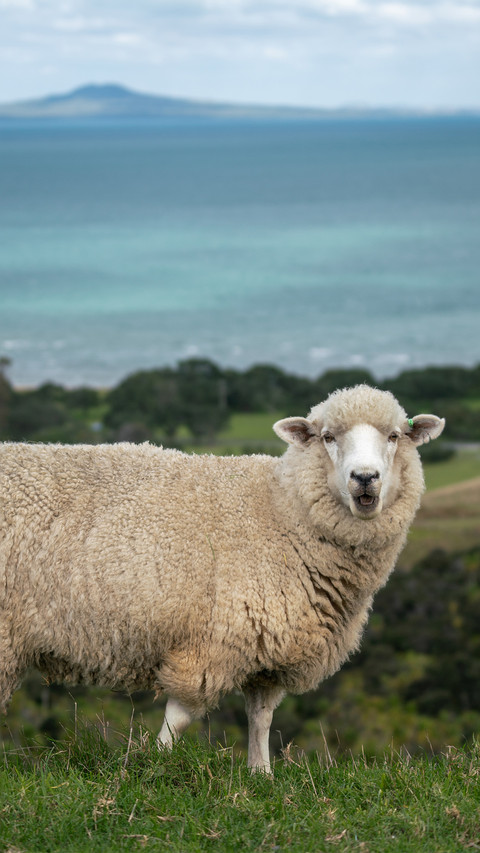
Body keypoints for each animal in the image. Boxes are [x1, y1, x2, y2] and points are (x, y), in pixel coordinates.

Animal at [0, 385, 444, 772]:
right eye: (328, 437)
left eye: (394, 436)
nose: (365, 478)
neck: (281, 511)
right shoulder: (211, 643)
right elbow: (179, 718)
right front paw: (153, 764)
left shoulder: (269, 647)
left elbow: (261, 717)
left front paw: (260, 774)